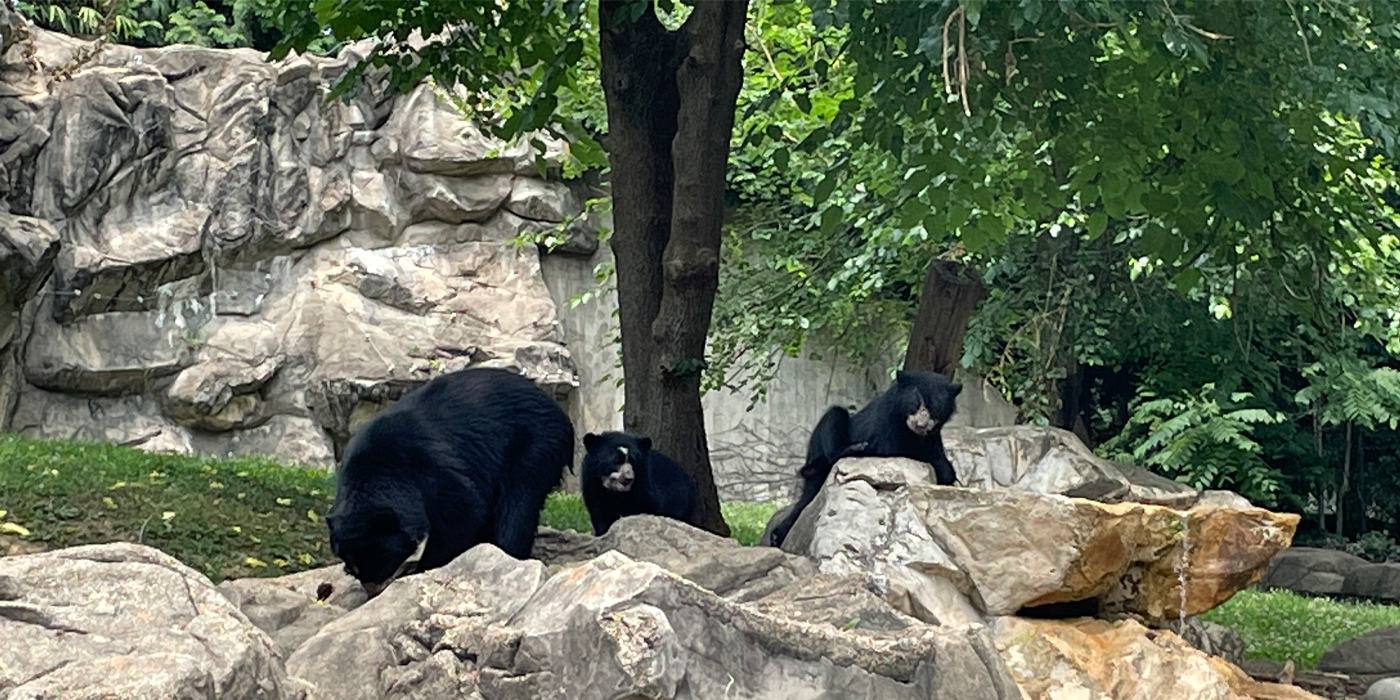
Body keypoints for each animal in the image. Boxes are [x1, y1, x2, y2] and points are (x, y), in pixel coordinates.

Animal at [324, 366, 571, 596]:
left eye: (385, 563)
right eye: (356, 569)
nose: (374, 592)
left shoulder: (433, 470)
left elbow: (464, 513)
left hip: (534, 446)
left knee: (516, 507)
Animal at [767, 369, 963, 548]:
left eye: (934, 409)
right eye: (916, 403)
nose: (920, 425)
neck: (909, 431)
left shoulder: (932, 437)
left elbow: (941, 461)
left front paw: (946, 471)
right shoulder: (885, 427)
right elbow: (891, 450)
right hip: (820, 448)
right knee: (834, 417)